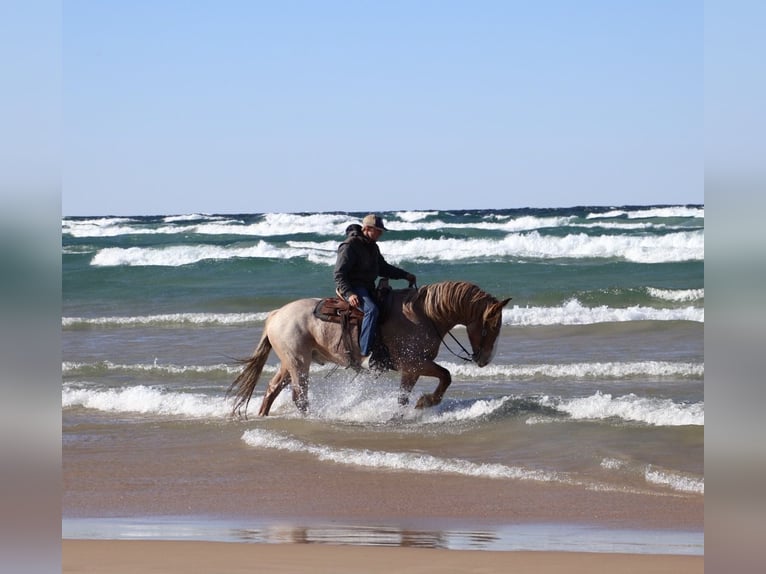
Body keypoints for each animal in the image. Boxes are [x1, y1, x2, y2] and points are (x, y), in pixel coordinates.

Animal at [227, 280, 511, 417]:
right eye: (490, 326)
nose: (485, 360)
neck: (423, 315)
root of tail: (276, 314)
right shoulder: (414, 364)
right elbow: (444, 377)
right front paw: (423, 403)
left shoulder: (412, 369)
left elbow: (407, 395)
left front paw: (410, 410)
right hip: (298, 362)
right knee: (300, 397)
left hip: (291, 362)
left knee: (273, 389)